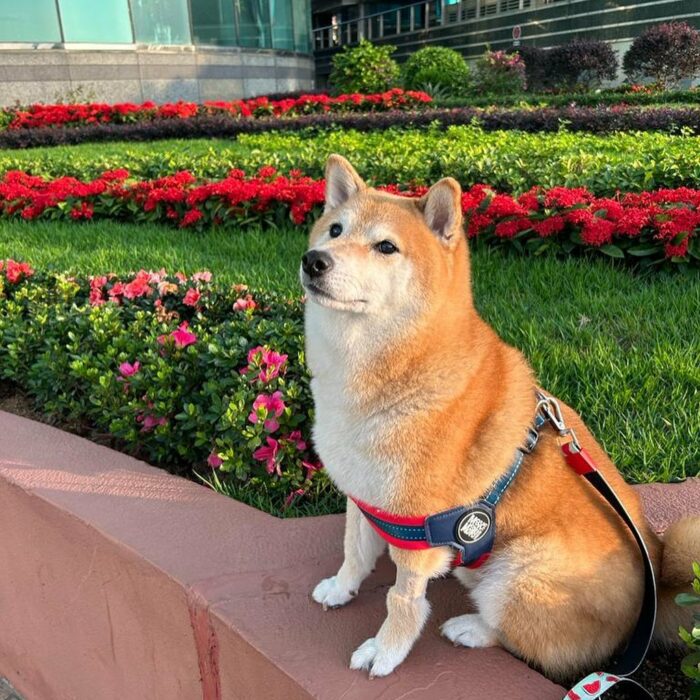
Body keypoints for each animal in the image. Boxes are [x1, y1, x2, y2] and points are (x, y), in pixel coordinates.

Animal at [300, 154, 700, 680]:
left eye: (386, 246)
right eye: (334, 230)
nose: (314, 260)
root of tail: (655, 588)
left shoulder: (417, 532)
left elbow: (401, 601)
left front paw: (385, 651)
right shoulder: (365, 496)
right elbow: (354, 551)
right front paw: (341, 587)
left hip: (518, 572)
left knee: (527, 638)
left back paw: (470, 627)